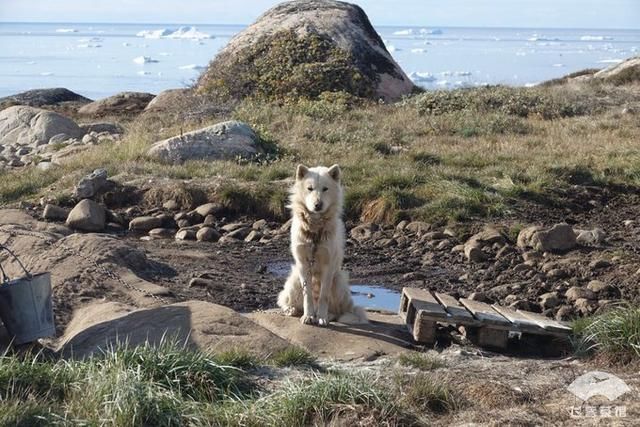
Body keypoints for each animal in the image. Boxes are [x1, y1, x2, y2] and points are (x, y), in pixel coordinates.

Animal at [278, 165, 368, 328]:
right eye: (310, 188)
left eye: (325, 189)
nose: (318, 205)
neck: (315, 230)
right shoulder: (303, 265)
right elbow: (307, 296)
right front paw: (308, 316)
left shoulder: (328, 266)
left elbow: (323, 296)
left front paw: (321, 317)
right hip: (295, 279)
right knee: (286, 300)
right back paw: (291, 309)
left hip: (338, 281)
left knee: (336, 310)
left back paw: (327, 315)